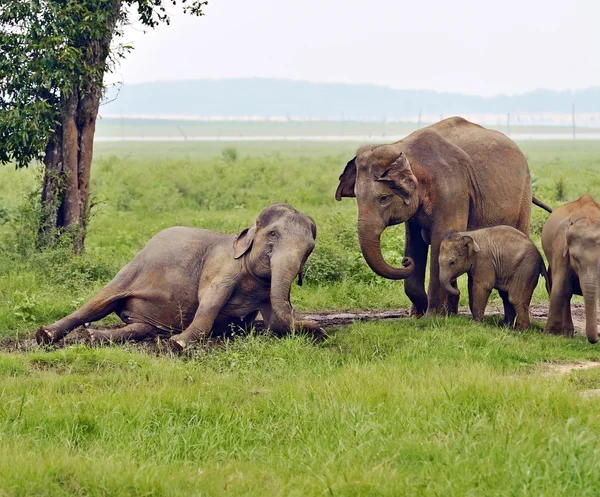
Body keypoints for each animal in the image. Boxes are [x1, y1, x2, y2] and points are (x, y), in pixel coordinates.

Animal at [35, 202, 322, 348]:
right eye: (272, 234)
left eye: (310, 249)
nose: (318, 326)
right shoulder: (222, 266)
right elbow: (210, 301)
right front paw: (179, 344)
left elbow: (277, 322)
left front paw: (314, 331)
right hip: (134, 268)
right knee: (96, 304)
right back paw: (45, 335)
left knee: (140, 328)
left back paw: (95, 337)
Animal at [336, 117, 552, 314]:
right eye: (357, 198)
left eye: (383, 198)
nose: (405, 261)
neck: (403, 148)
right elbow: (414, 242)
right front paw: (418, 315)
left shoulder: (452, 190)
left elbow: (441, 239)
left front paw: (431, 317)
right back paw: (452, 313)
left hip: (523, 196)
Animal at [540, 196, 596, 342]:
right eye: (575, 258)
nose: (594, 340)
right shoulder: (561, 245)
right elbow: (561, 287)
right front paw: (550, 335)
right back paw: (567, 333)